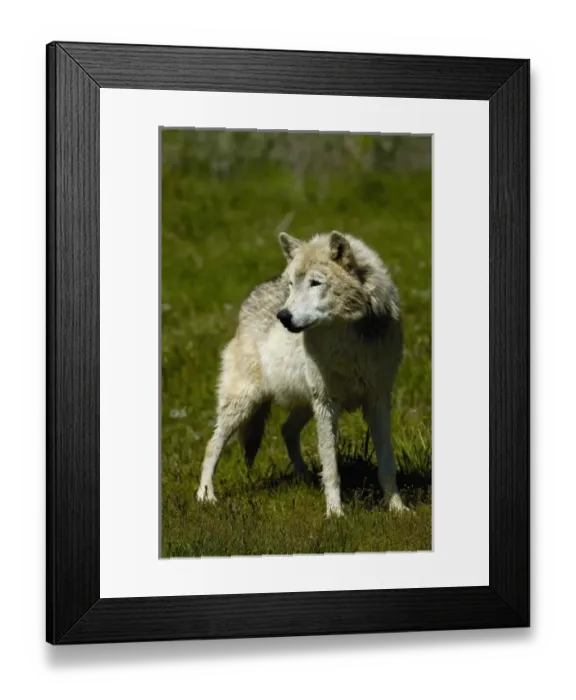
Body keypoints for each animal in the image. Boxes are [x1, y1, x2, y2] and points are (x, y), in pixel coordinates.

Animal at [196, 230, 409, 517]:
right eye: (291, 285)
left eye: (315, 283)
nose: (283, 316)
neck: (347, 343)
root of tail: (255, 292)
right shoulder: (326, 403)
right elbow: (331, 467)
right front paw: (335, 513)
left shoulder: (378, 399)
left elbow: (386, 463)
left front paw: (398, 508)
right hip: (245, 403)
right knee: (212, 444)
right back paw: (205, 496)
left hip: (304, 404)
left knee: (286, 429)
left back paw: (306, 478)